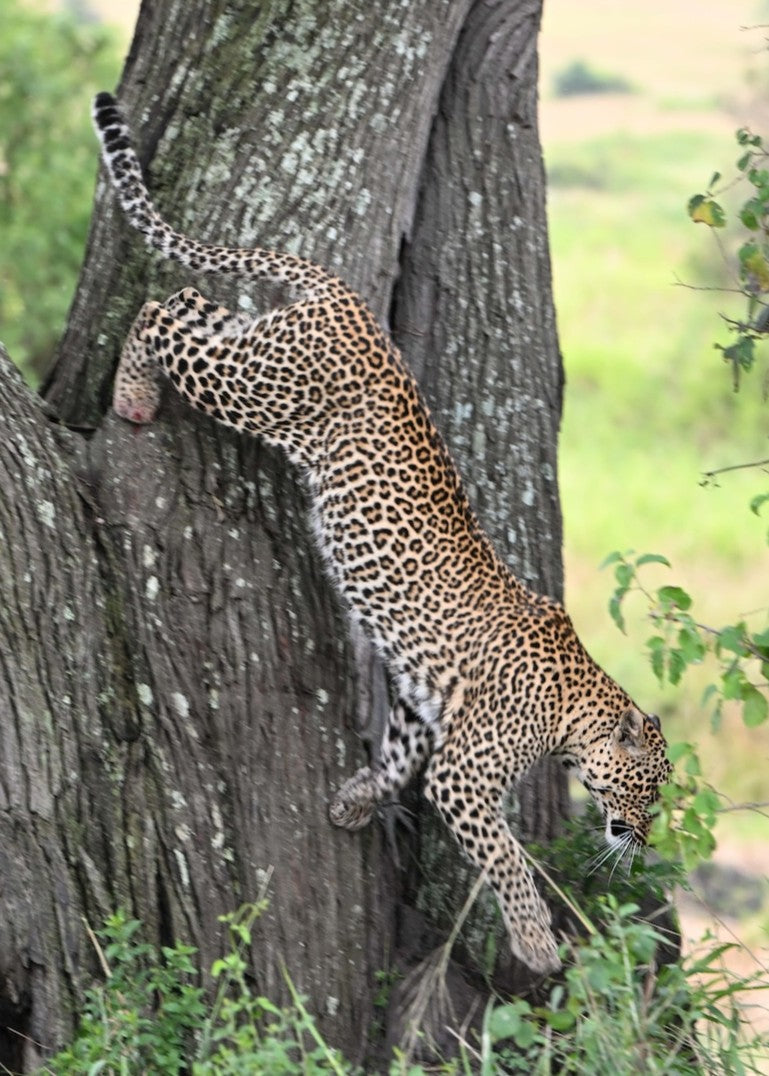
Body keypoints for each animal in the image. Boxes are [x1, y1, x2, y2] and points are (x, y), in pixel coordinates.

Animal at [92, 91, 672, 975]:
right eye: (648, 791)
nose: (640, 841)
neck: (573, 709)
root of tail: (350, 300)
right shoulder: (463, 774)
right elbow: (504, 856)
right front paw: (536, 942)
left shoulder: (417, 705)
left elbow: (396, 765)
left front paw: (352, 803)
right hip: (254, 388)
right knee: (161, 312)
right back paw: (131, 396)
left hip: (255, 352)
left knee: (189, 304)